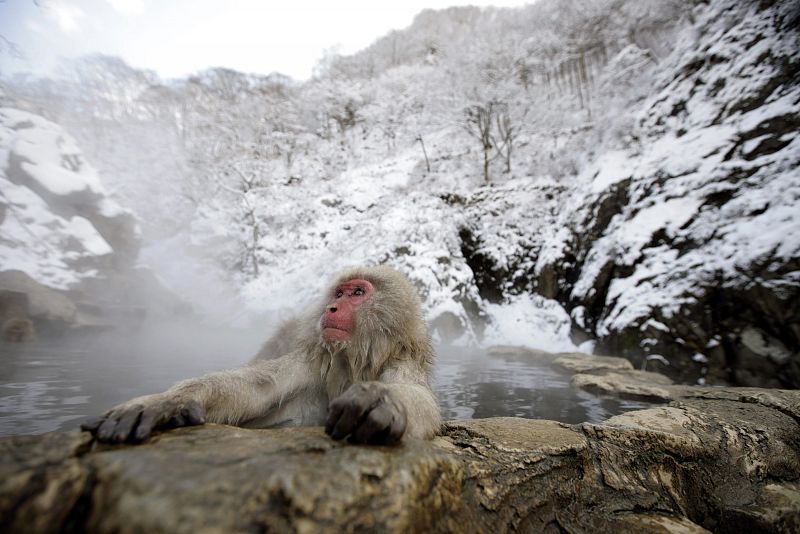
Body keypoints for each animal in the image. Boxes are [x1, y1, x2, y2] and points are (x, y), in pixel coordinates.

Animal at [84, 266, 440, 446]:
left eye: (357, 293)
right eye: (339, 293)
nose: (331, 308)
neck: (354, 364)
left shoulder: (403, 361)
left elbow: (418, 399)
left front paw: (382, 401)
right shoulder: (314, 362)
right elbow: (258, 386)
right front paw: (166, 403)